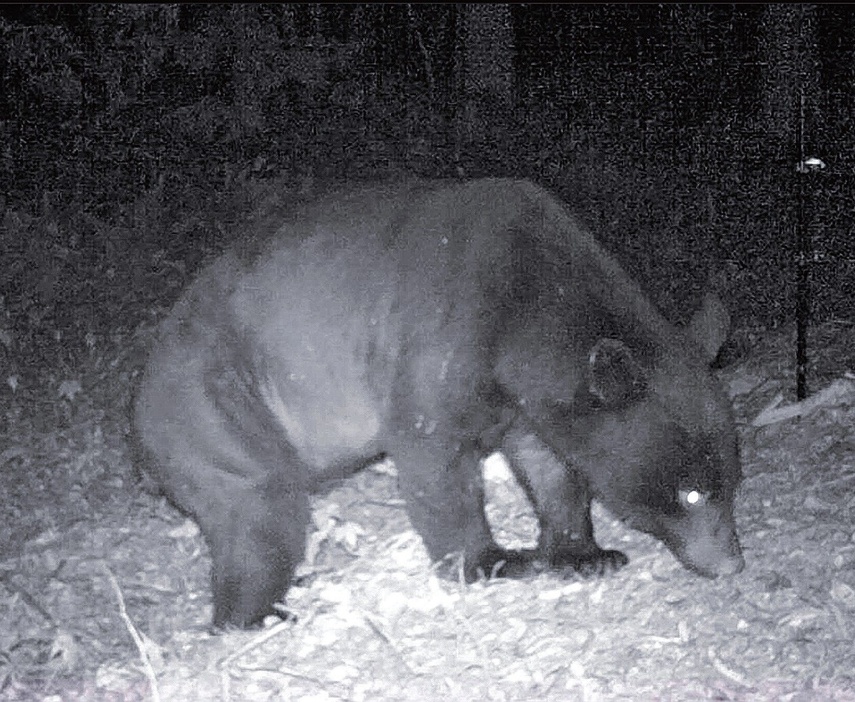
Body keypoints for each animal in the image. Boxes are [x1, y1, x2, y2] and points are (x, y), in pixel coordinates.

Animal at [134, 179, 744, 628]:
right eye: (691, 493)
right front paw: (495, 561)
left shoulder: (530, 399)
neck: (530, 311)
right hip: (218, 407)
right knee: (261, 510)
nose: (731, 564)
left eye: (732, 482)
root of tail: (139, 405)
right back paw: (259, 614)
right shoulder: (446, 335)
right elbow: (432, 455)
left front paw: (586, 555)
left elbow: (553, 466)